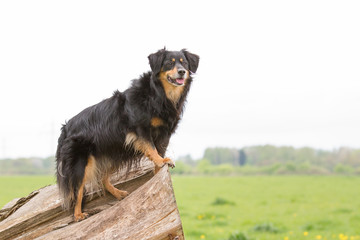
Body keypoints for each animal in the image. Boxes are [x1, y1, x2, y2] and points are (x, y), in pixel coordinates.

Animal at [55, 48, 200, 221]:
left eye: (184, 63)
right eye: (169, 63)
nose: (182, 72)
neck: (158, 94)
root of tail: (65, 128)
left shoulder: (164, 134)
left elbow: (158, 152)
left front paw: (159, 172)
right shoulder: (140, 128)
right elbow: (151, 149)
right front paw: (162, 161)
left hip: (114, 153)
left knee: (102, 178)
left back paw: (118, 194)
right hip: (81, 162)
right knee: (78, 189)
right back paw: (78, 215)